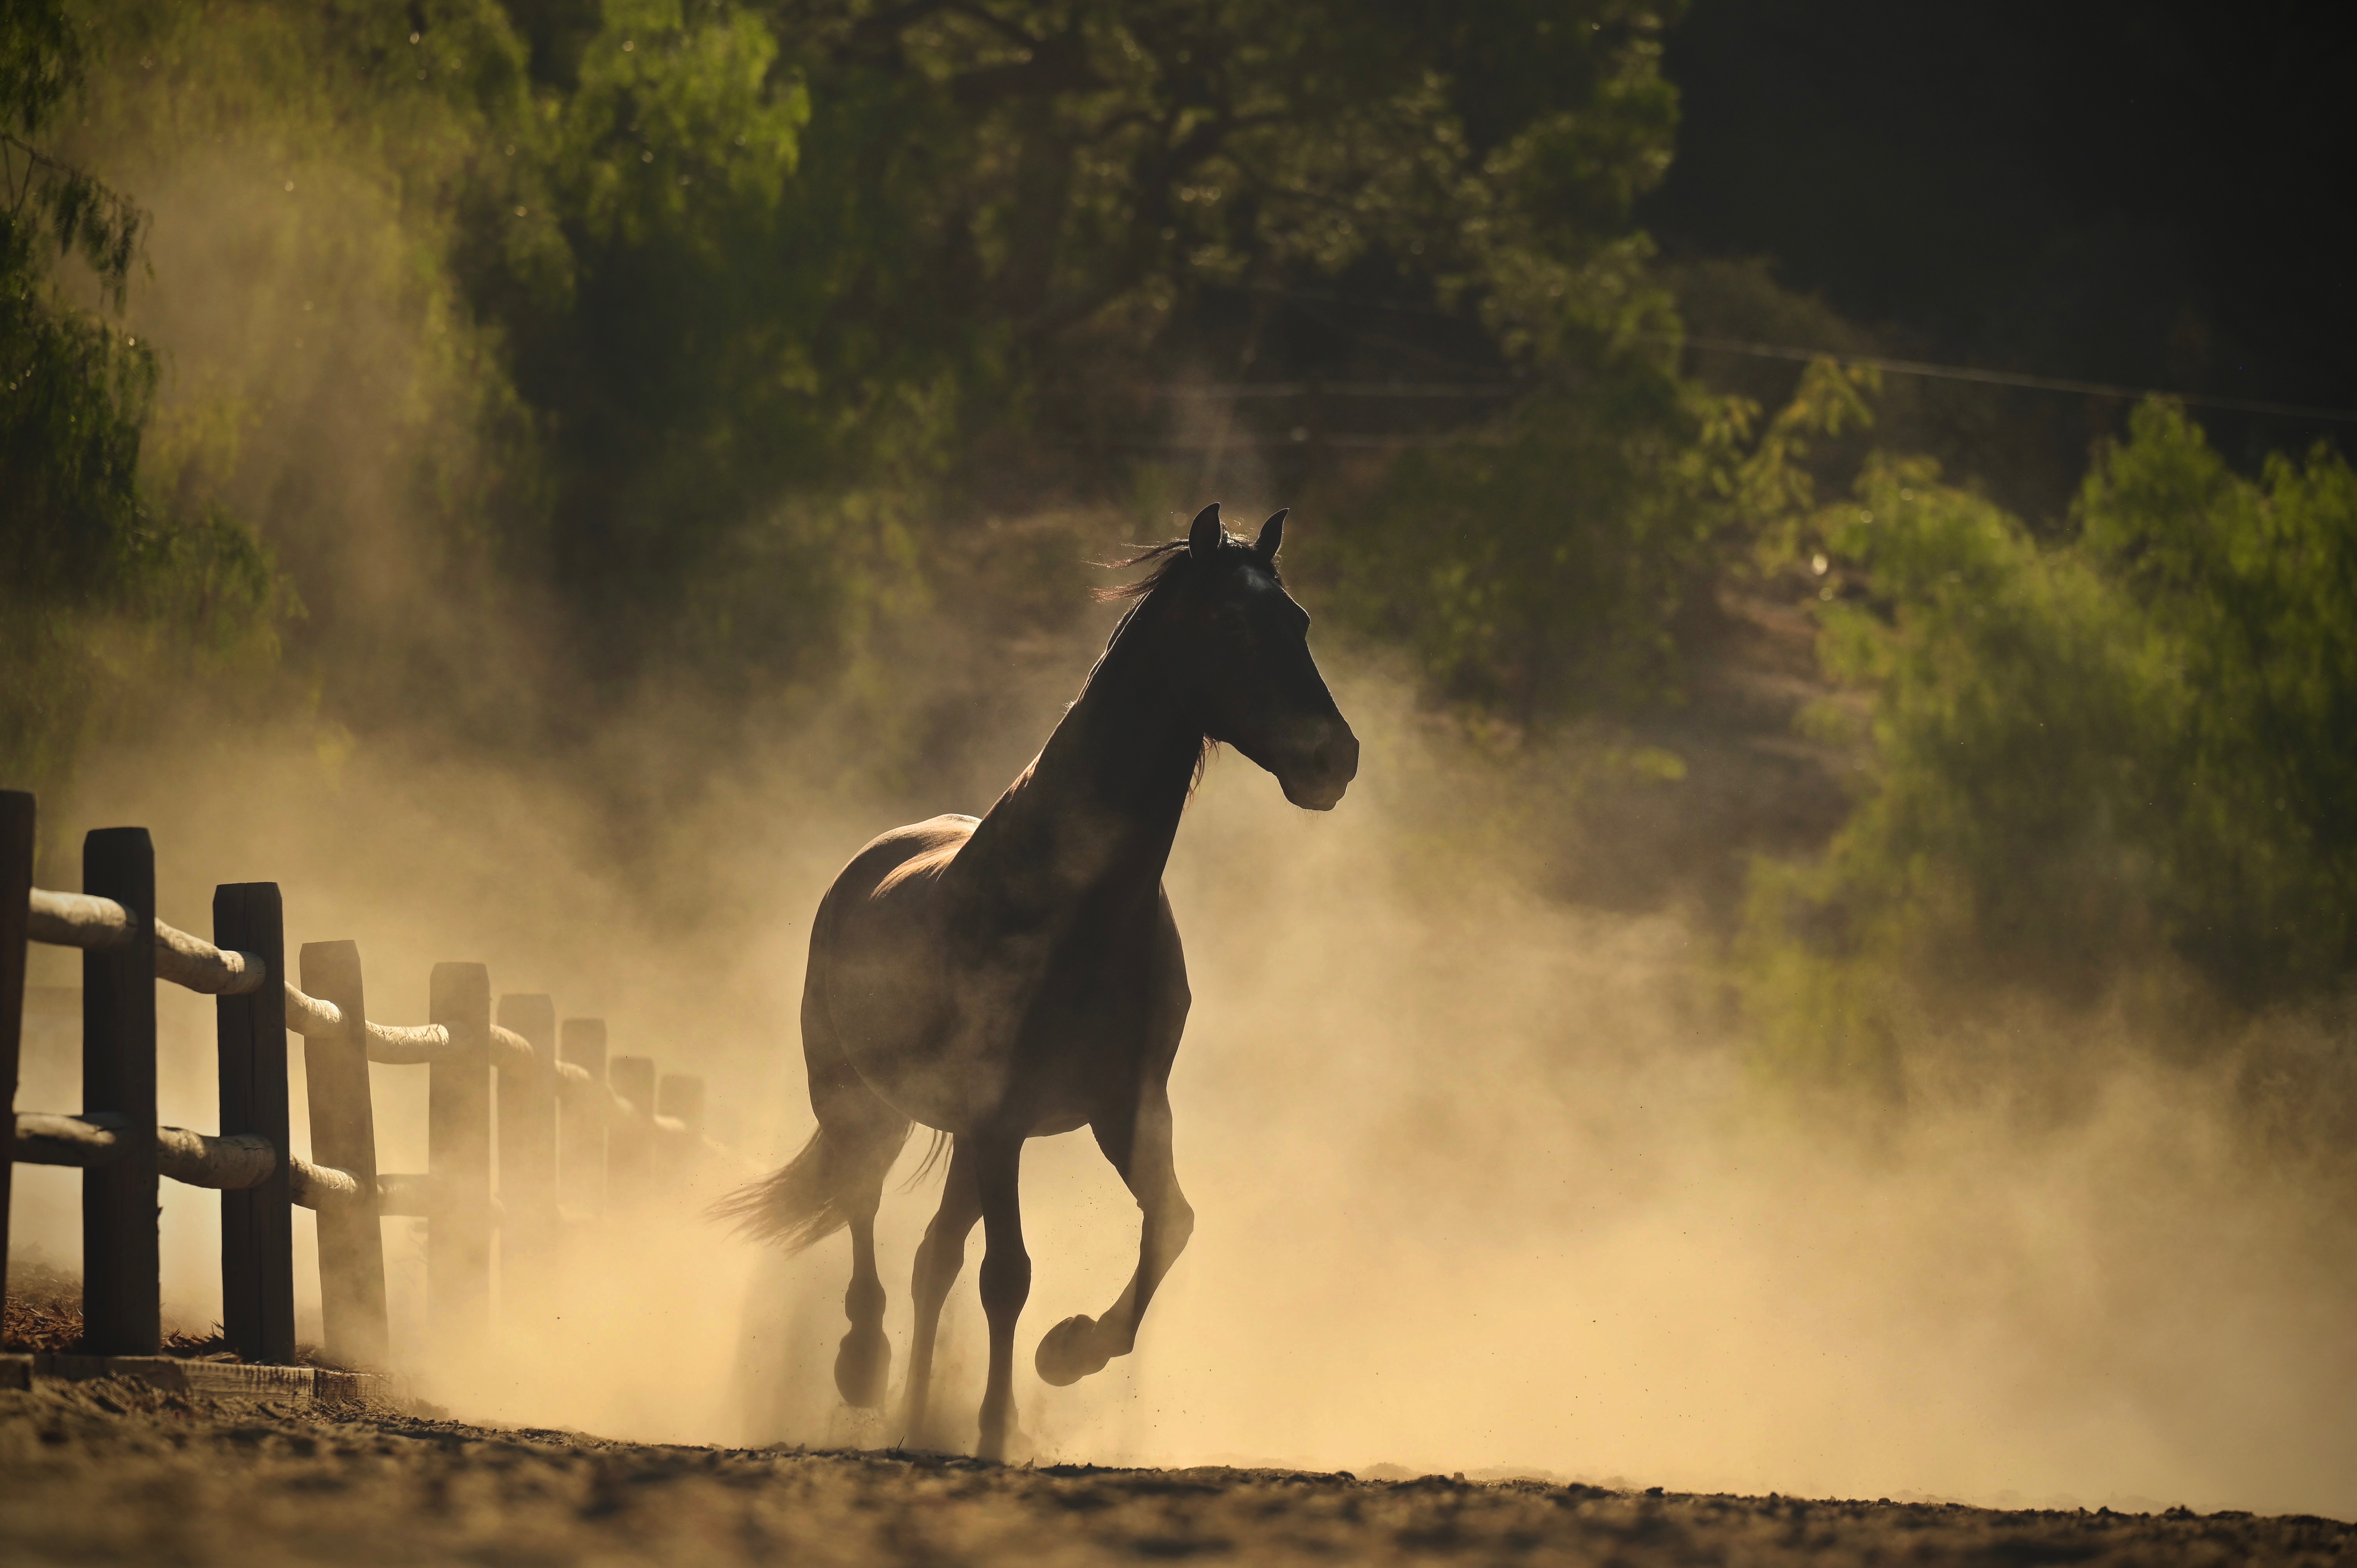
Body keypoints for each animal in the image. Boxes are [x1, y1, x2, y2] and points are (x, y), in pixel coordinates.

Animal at [718, 502, 1359, 1460]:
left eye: (1302, 620)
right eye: (1233, 624)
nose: (1336, 759)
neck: (1079, 909)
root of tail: (864, 866)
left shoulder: (1121, 1108)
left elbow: (1171, 1223)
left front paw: (1068, 1353)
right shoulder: (1001, 1117)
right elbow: (1007, 1274)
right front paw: (995, 1421)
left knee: (932, 1257)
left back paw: (914, 1416)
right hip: (856, 1096)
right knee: (868, 1209)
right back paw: (865, 1367)